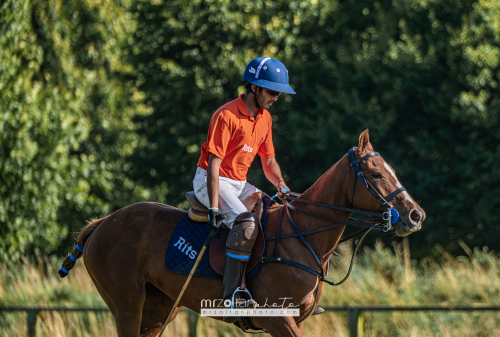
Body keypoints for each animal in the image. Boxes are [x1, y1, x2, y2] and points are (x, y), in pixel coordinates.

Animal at [58, 129, 426, 336]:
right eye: (376, 174)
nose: (415, 214)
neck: (303, 238)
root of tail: (102, 224)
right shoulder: (278, 319)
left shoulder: (296, 319)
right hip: (127, 305)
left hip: (160, 309)